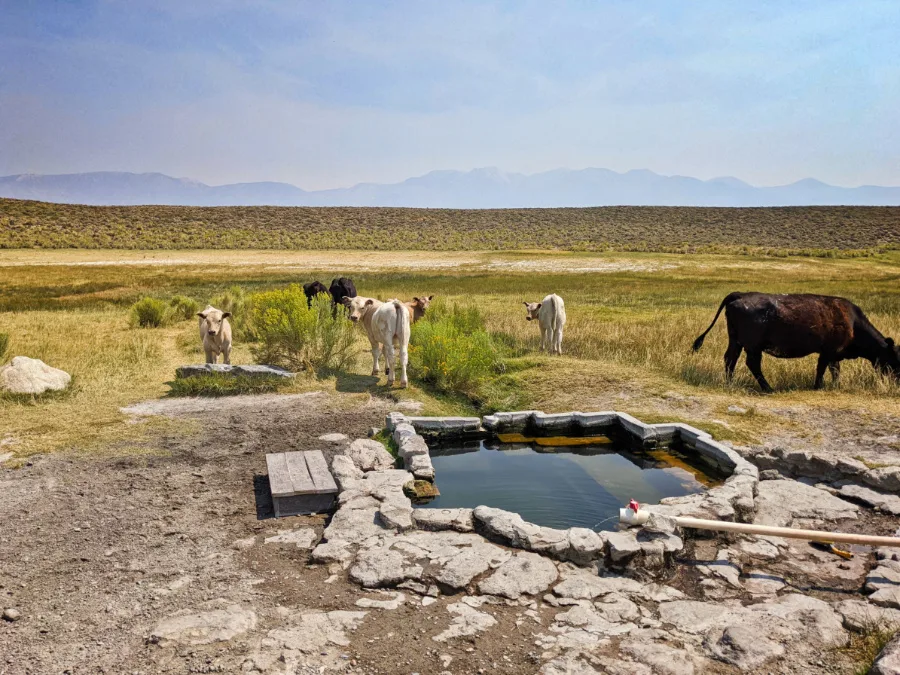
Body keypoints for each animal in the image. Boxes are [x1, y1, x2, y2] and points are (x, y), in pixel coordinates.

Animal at [692, 294, 896, 394]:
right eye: (895, 359)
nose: (896, 381)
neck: (852, 321)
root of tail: (737, 298)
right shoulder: (828, 351)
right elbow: (825, 369)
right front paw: (819, 386)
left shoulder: (830, 353)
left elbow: (831, 369)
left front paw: (831, 385)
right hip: (753, 347)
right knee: (752, 364)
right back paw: (769, 389)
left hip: (737, 341)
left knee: (730, 359)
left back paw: (730, 382)